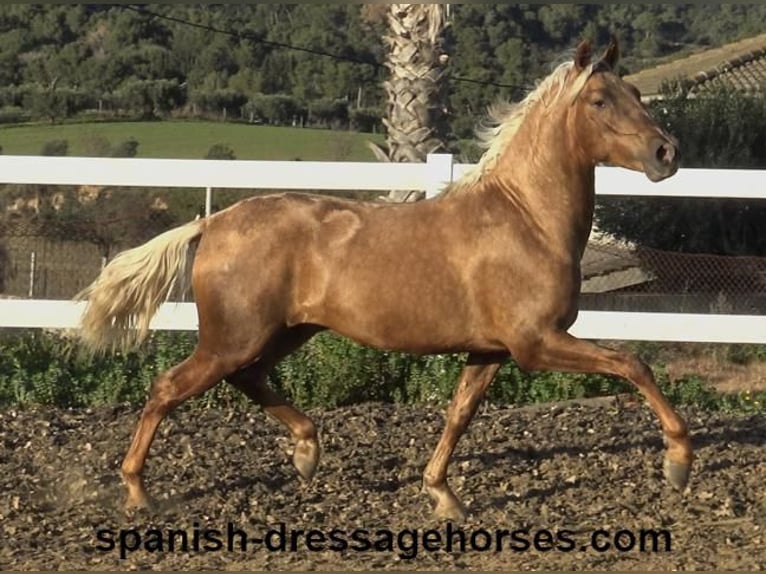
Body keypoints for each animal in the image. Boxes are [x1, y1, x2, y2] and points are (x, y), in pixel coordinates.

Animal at [76, 36, 688, 520]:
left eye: (637, 96)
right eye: (600, 100)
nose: (667, 153)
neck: (525, 219)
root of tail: (213, 222)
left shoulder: (491, 350)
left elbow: (459, 414)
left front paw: (442, 495)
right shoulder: (536, 343)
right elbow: (633, 363)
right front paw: (678, 461)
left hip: (283, 333)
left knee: (247, 379)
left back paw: (307, 452)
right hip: (235, 338)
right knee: (167, 387)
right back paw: (139, 492)